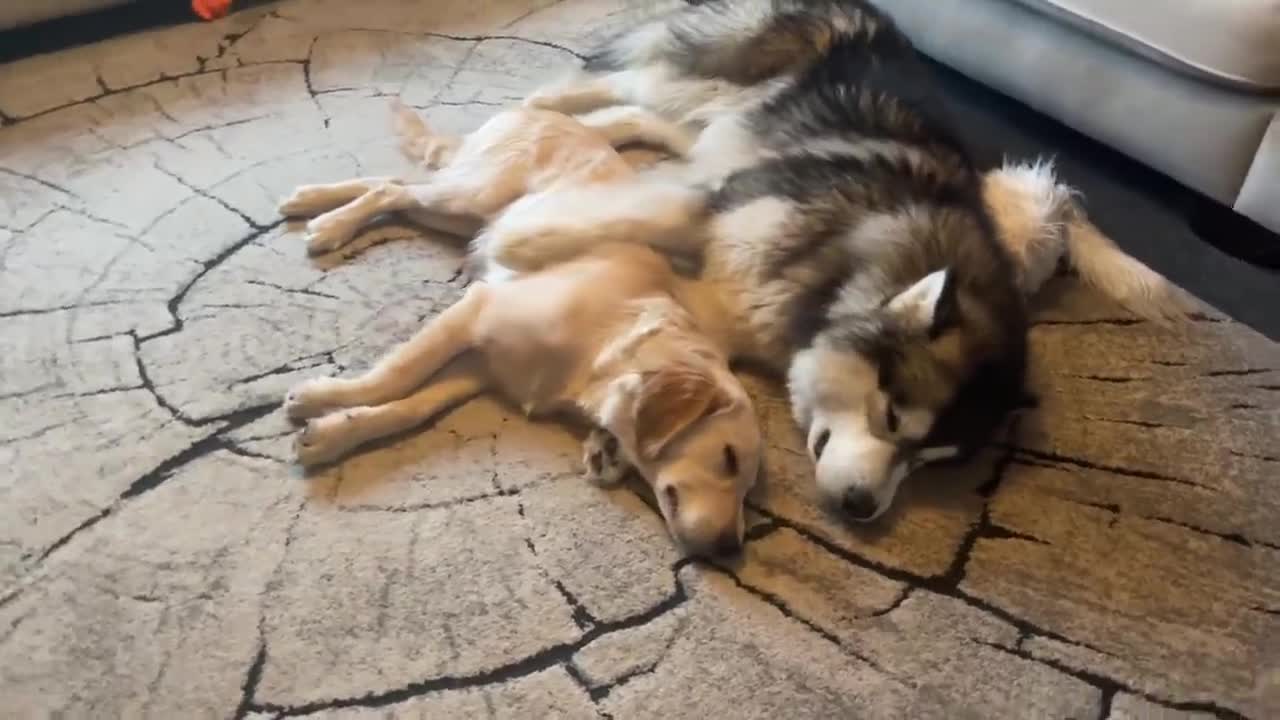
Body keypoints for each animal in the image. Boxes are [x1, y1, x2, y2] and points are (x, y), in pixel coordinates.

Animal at [277, 101, 757, 550]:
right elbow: (394, 376)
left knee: (397, 187)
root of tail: (544, 111)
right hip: (473, 196)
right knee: (393, 191)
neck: (600, 351)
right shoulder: (476, 311)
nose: (731, 548)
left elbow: (411, 408)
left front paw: (331, 433)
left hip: (463, 217)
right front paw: (321, 396)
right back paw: (329, 224)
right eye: (729, 458)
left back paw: (309, 199)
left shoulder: (481, 367)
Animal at [501, 0, 1187, 517]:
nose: (864, 508)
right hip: (715, 83)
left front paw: (619, 435)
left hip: (726, 123)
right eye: (892, 416)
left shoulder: (737, 293)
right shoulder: (719, 198)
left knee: (646, 117)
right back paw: (542, 103)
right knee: (626, 82)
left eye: (927, 462)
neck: (841, 271)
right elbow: (617, 217)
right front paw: (515, 242)